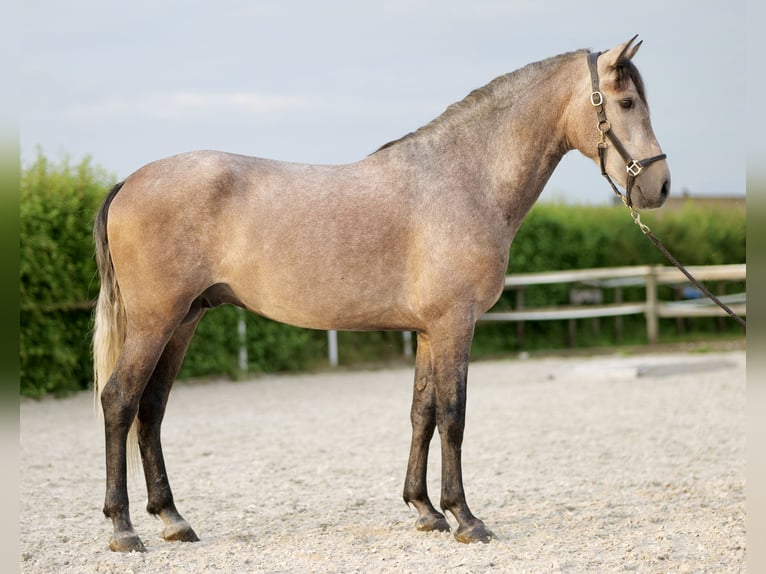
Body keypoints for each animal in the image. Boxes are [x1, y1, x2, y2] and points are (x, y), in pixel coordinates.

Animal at [93, 36, 672, 552]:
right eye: (625, 103)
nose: (660, 186)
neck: (464, 179)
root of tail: (128, 183)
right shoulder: (455, 324)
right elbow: (454, 416)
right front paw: (466, 518)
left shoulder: (427, 331)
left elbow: (422, 413)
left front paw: (425, 510)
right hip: (156, 322)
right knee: (120, 400)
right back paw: (124, 528)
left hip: (184, 321)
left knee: (152, 409)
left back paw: (173, 519)